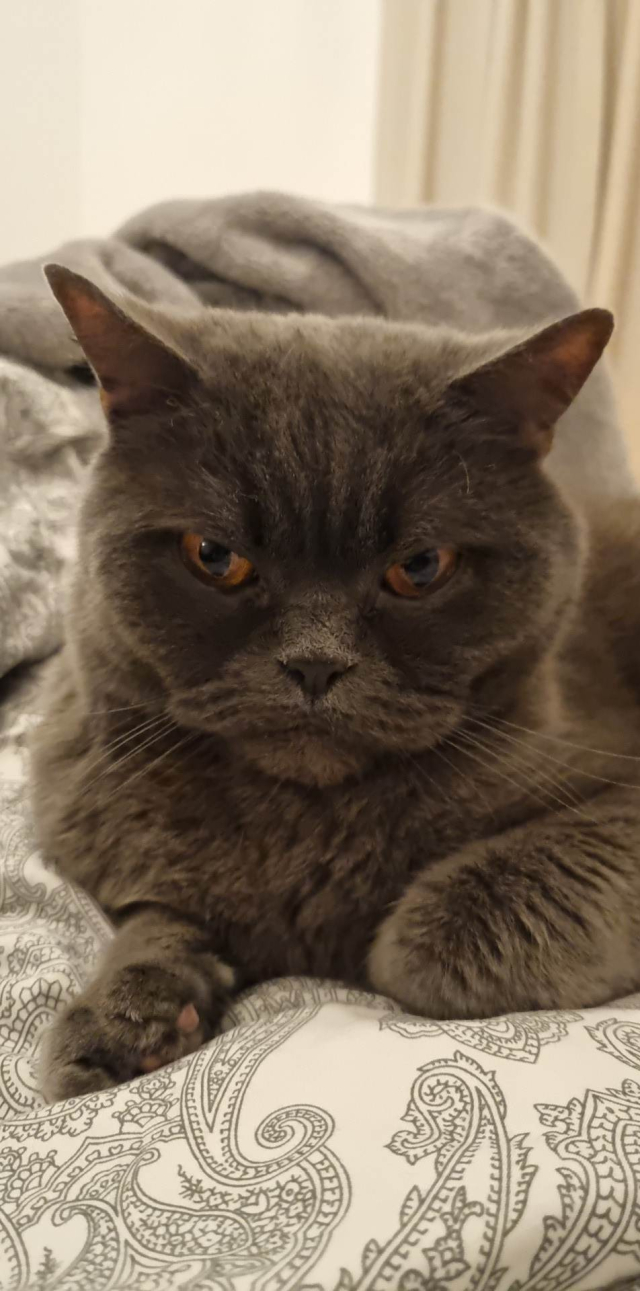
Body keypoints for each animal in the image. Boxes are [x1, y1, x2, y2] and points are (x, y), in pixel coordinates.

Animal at [30, 259, 640, 1099]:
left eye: (422, 566)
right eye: (213, 556)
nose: (314, 661)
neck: (300, 831)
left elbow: (420, 942)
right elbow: (158, 915)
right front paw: (122, 1017)